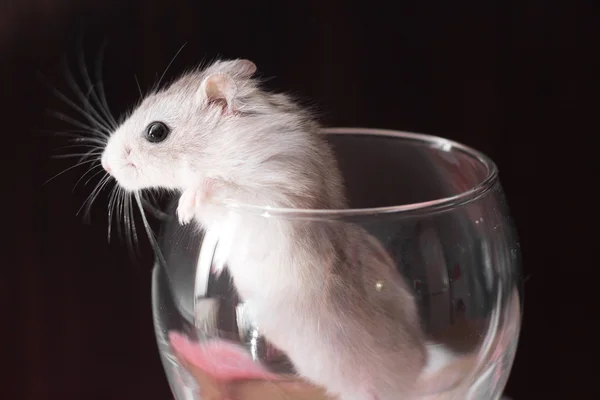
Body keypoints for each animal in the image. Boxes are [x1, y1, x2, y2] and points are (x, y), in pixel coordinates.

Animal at [101, 59, 468, 400]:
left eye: (156, 132)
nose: (105, 163)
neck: (226, 146)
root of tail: (412, 382)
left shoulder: (275, 191)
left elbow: (219, 187)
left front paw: (184, 206)